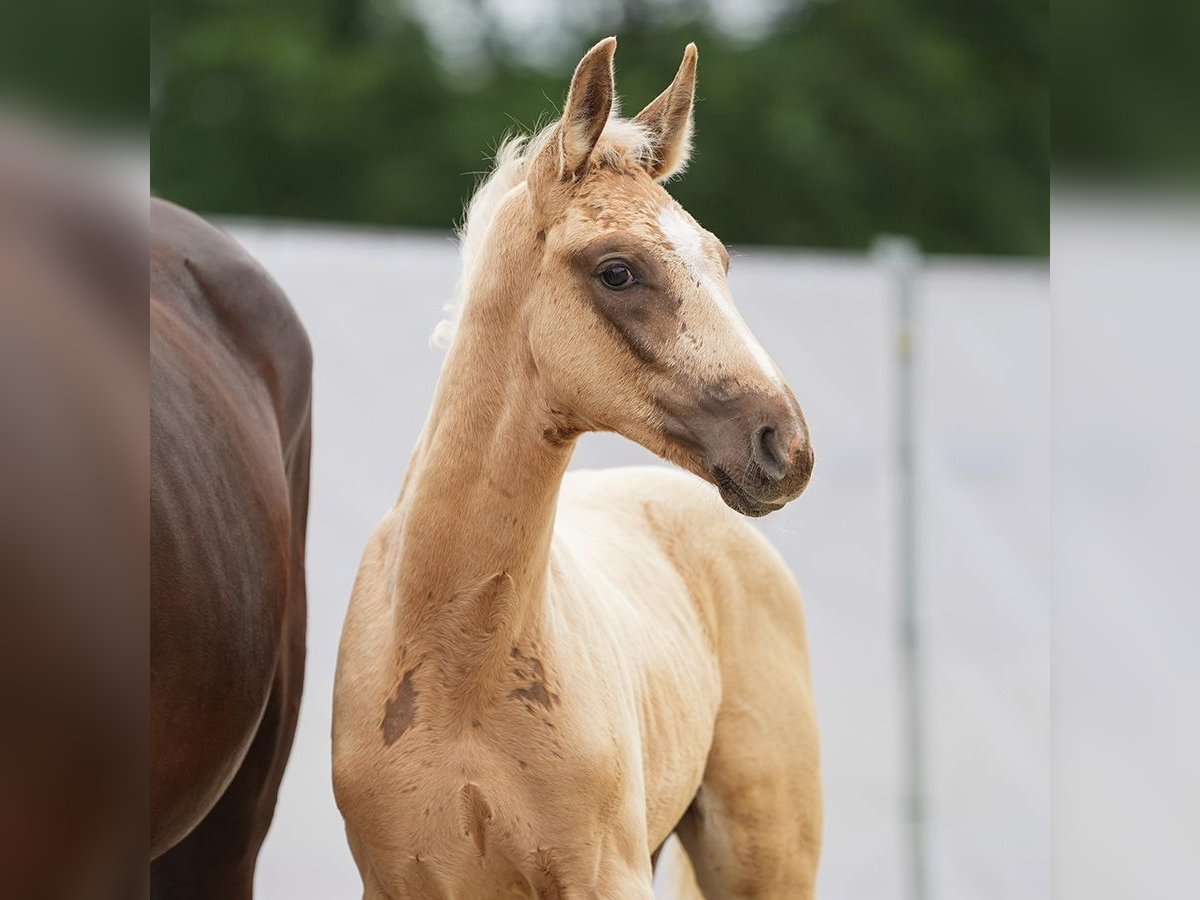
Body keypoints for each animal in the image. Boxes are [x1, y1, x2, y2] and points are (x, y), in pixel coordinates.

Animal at [338, 38, 825, 900]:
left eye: (720, 259)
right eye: (618, 270)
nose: (785, 446)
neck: (457, 664)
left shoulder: (606, 873)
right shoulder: (397, 880)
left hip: (765, 857)